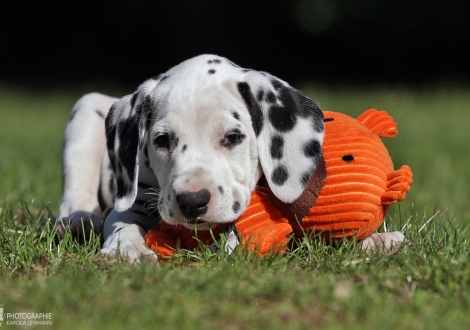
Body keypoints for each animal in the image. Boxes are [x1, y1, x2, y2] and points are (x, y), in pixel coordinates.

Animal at [57, 54, 404, 262]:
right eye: (162, 140)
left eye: (233, 137)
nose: (192, 201)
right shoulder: (137, 199)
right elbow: (121, 221)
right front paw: (128, 250)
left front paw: (377, 241)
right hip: (86, 110)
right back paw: (77, 219)